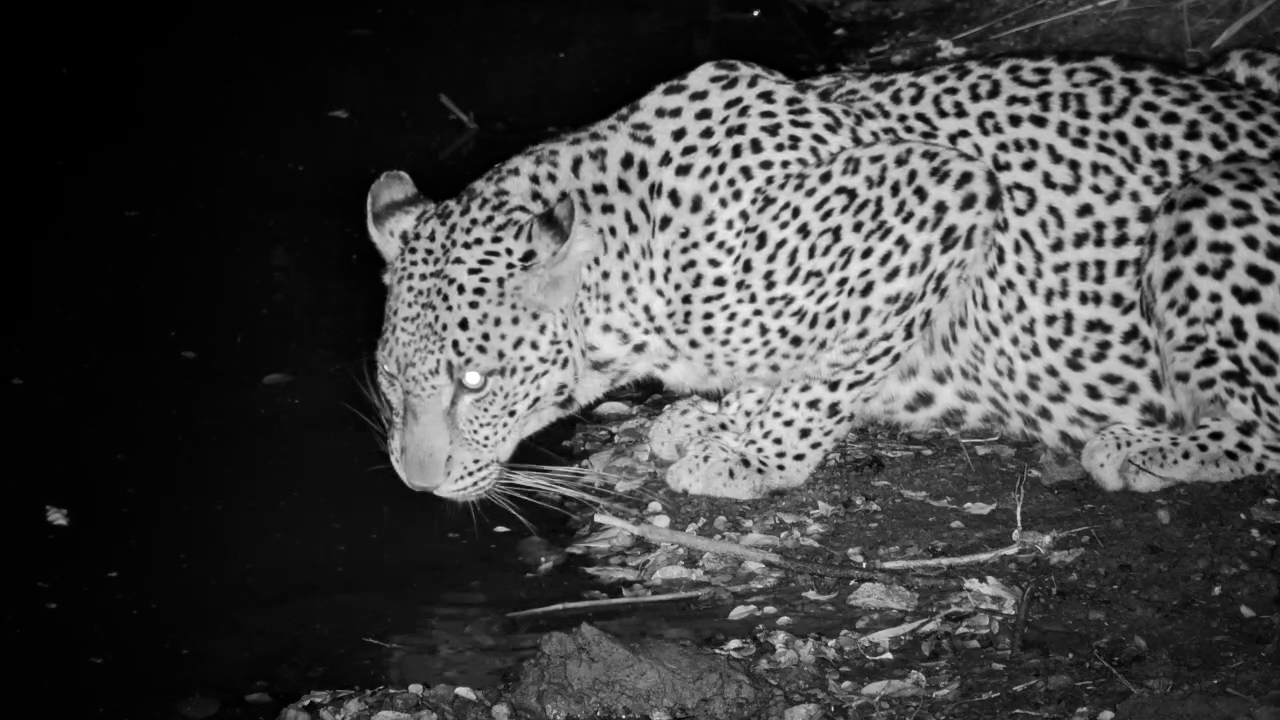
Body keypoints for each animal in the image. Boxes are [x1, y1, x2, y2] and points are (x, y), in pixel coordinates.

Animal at [366, 49, 1280, 502]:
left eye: (476, 382)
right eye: (391, 380)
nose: (415, 481)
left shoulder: (943, 196)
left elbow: (826, 374)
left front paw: (753, 454)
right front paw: (713, 418)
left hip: (1211, 198)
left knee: (1261, 427)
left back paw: (1141, 448)